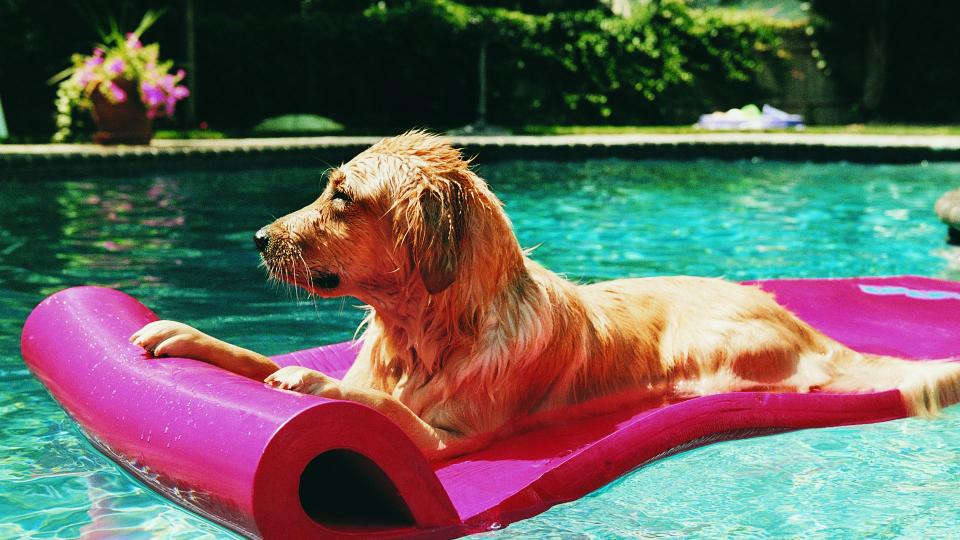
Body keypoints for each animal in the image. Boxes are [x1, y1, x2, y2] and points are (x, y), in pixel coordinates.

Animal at [131, 130, 960, 460]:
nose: (258, 238)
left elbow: (376, 404)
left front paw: (308, 378)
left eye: (342, 196)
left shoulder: (450, 441)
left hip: (713, 346)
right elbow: (257, 356)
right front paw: (187, 334)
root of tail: (806, 324)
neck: (425, 333)